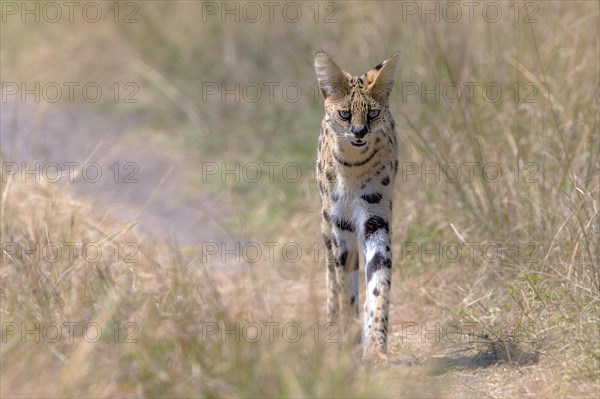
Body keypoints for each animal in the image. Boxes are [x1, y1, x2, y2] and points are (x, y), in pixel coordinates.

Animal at [314, 50, 398, 360]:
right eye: (345, 114)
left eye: (372, 113)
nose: (360, 132)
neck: (352, 167)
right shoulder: (341, 225)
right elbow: (345, 288)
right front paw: (349, 346)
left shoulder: (376, 219)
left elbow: (378, 284)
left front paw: (375, 348)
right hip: (326, 223)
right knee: (331, 280)